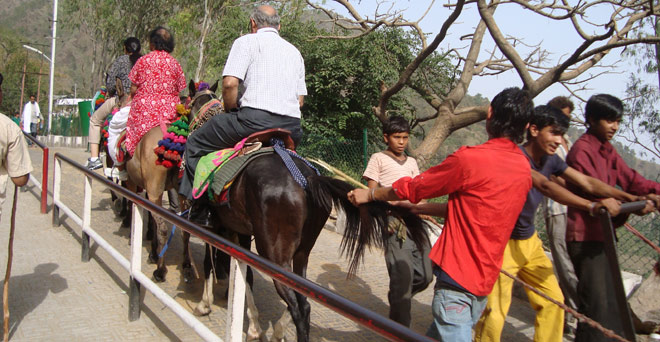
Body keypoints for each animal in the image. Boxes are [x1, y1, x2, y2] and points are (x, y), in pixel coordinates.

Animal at [191, 100, 428, 340]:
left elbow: (211, 262)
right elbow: (244, 273)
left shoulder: (219, 229)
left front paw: (205, 304)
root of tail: (309, 178)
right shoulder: (240, 232)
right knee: (303, 301)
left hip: (274, 254)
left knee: (297, 305)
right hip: (302, 251)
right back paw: (279, 330)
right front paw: (253, 326)